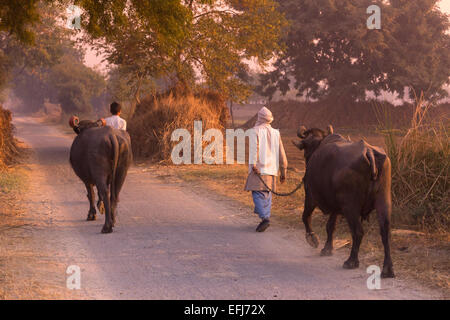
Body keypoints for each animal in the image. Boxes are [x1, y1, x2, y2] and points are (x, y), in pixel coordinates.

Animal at [292, 125, 394, 278]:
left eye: (306, 146)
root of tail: (369, 152)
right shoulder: (336, 207)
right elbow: (330, 226)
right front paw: (327, 248)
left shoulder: (310, 196)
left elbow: (305, 217)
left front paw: (313, 239)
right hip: (383, 200)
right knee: (385, 232)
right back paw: (388, 269)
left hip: (350, 207)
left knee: (358, 232)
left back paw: (351, 261)